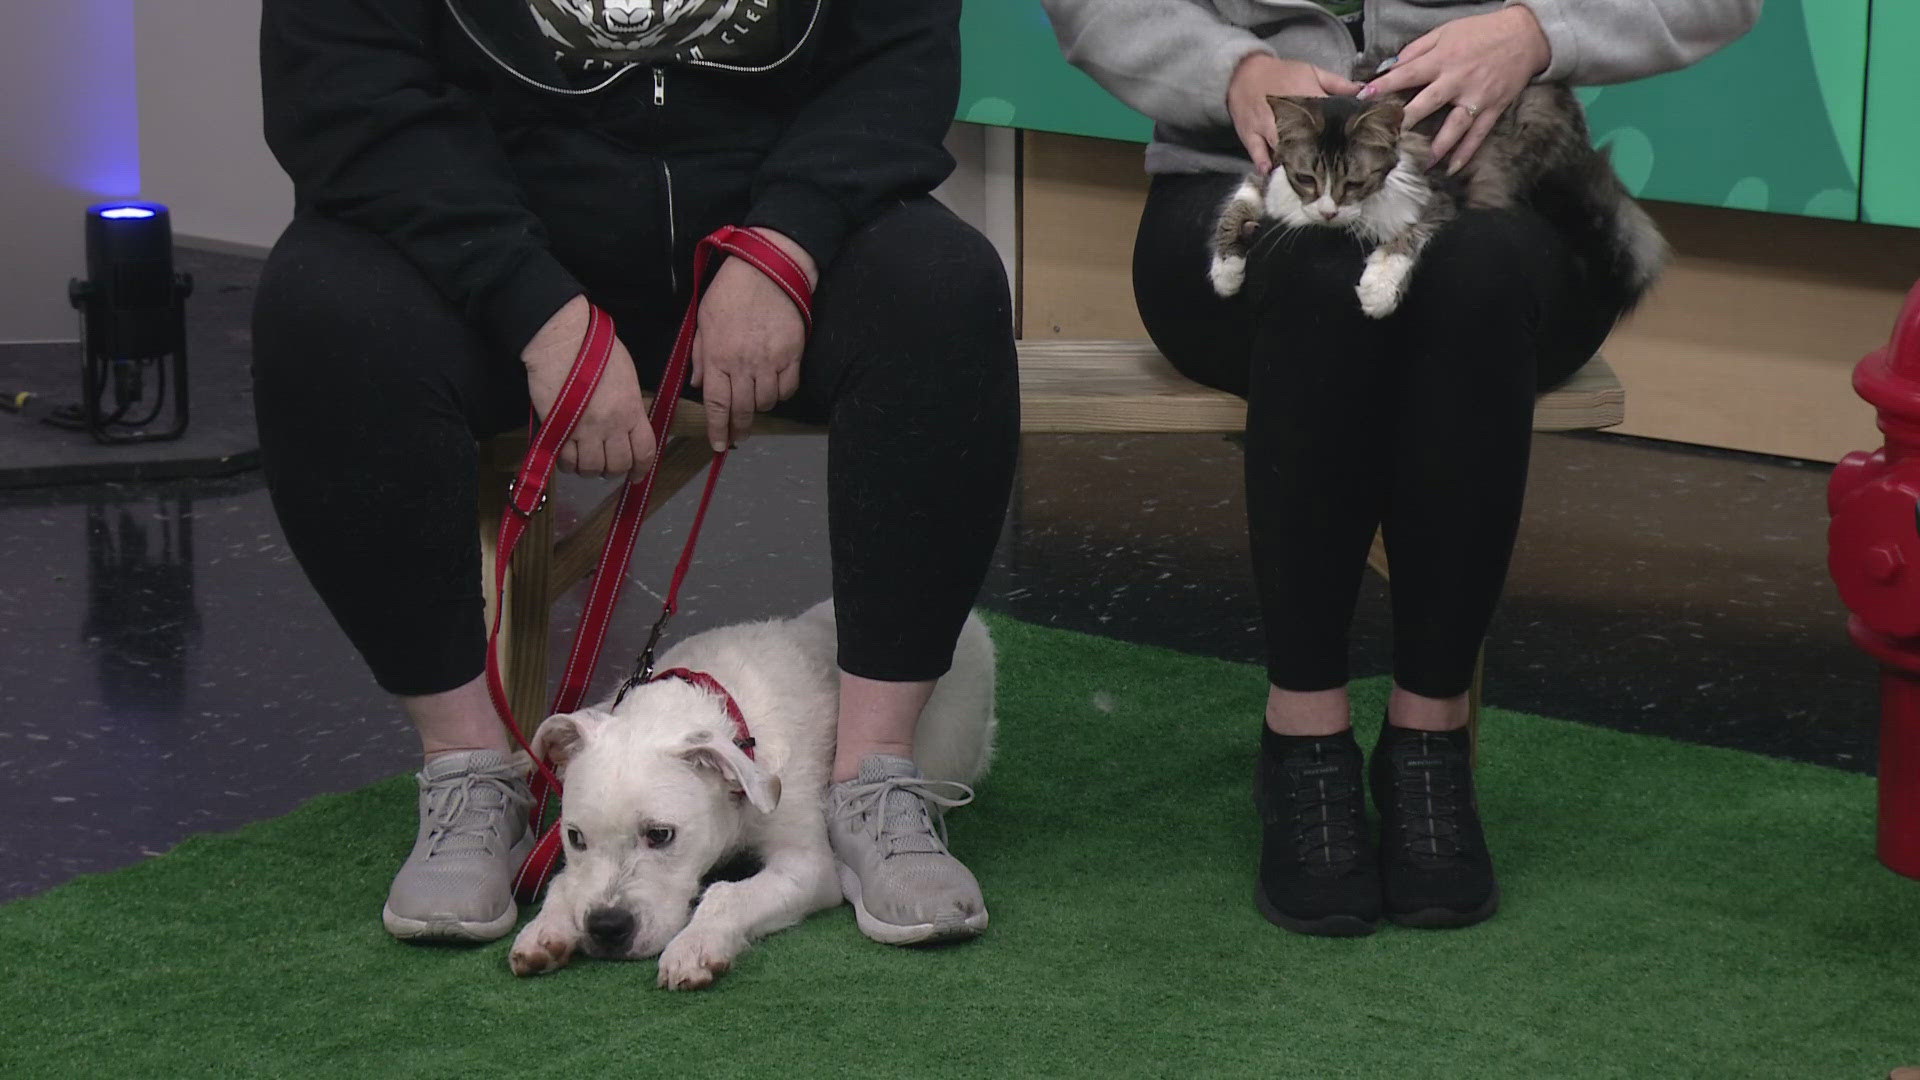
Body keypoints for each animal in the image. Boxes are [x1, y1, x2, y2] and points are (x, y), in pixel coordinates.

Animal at [503, 595, 998, 983]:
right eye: (575, 838)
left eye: (661, 835)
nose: (606, 928)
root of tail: (975, 622)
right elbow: (567, 880)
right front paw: (546, 927)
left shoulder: (808, 865)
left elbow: (728, 894)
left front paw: (696, 944)